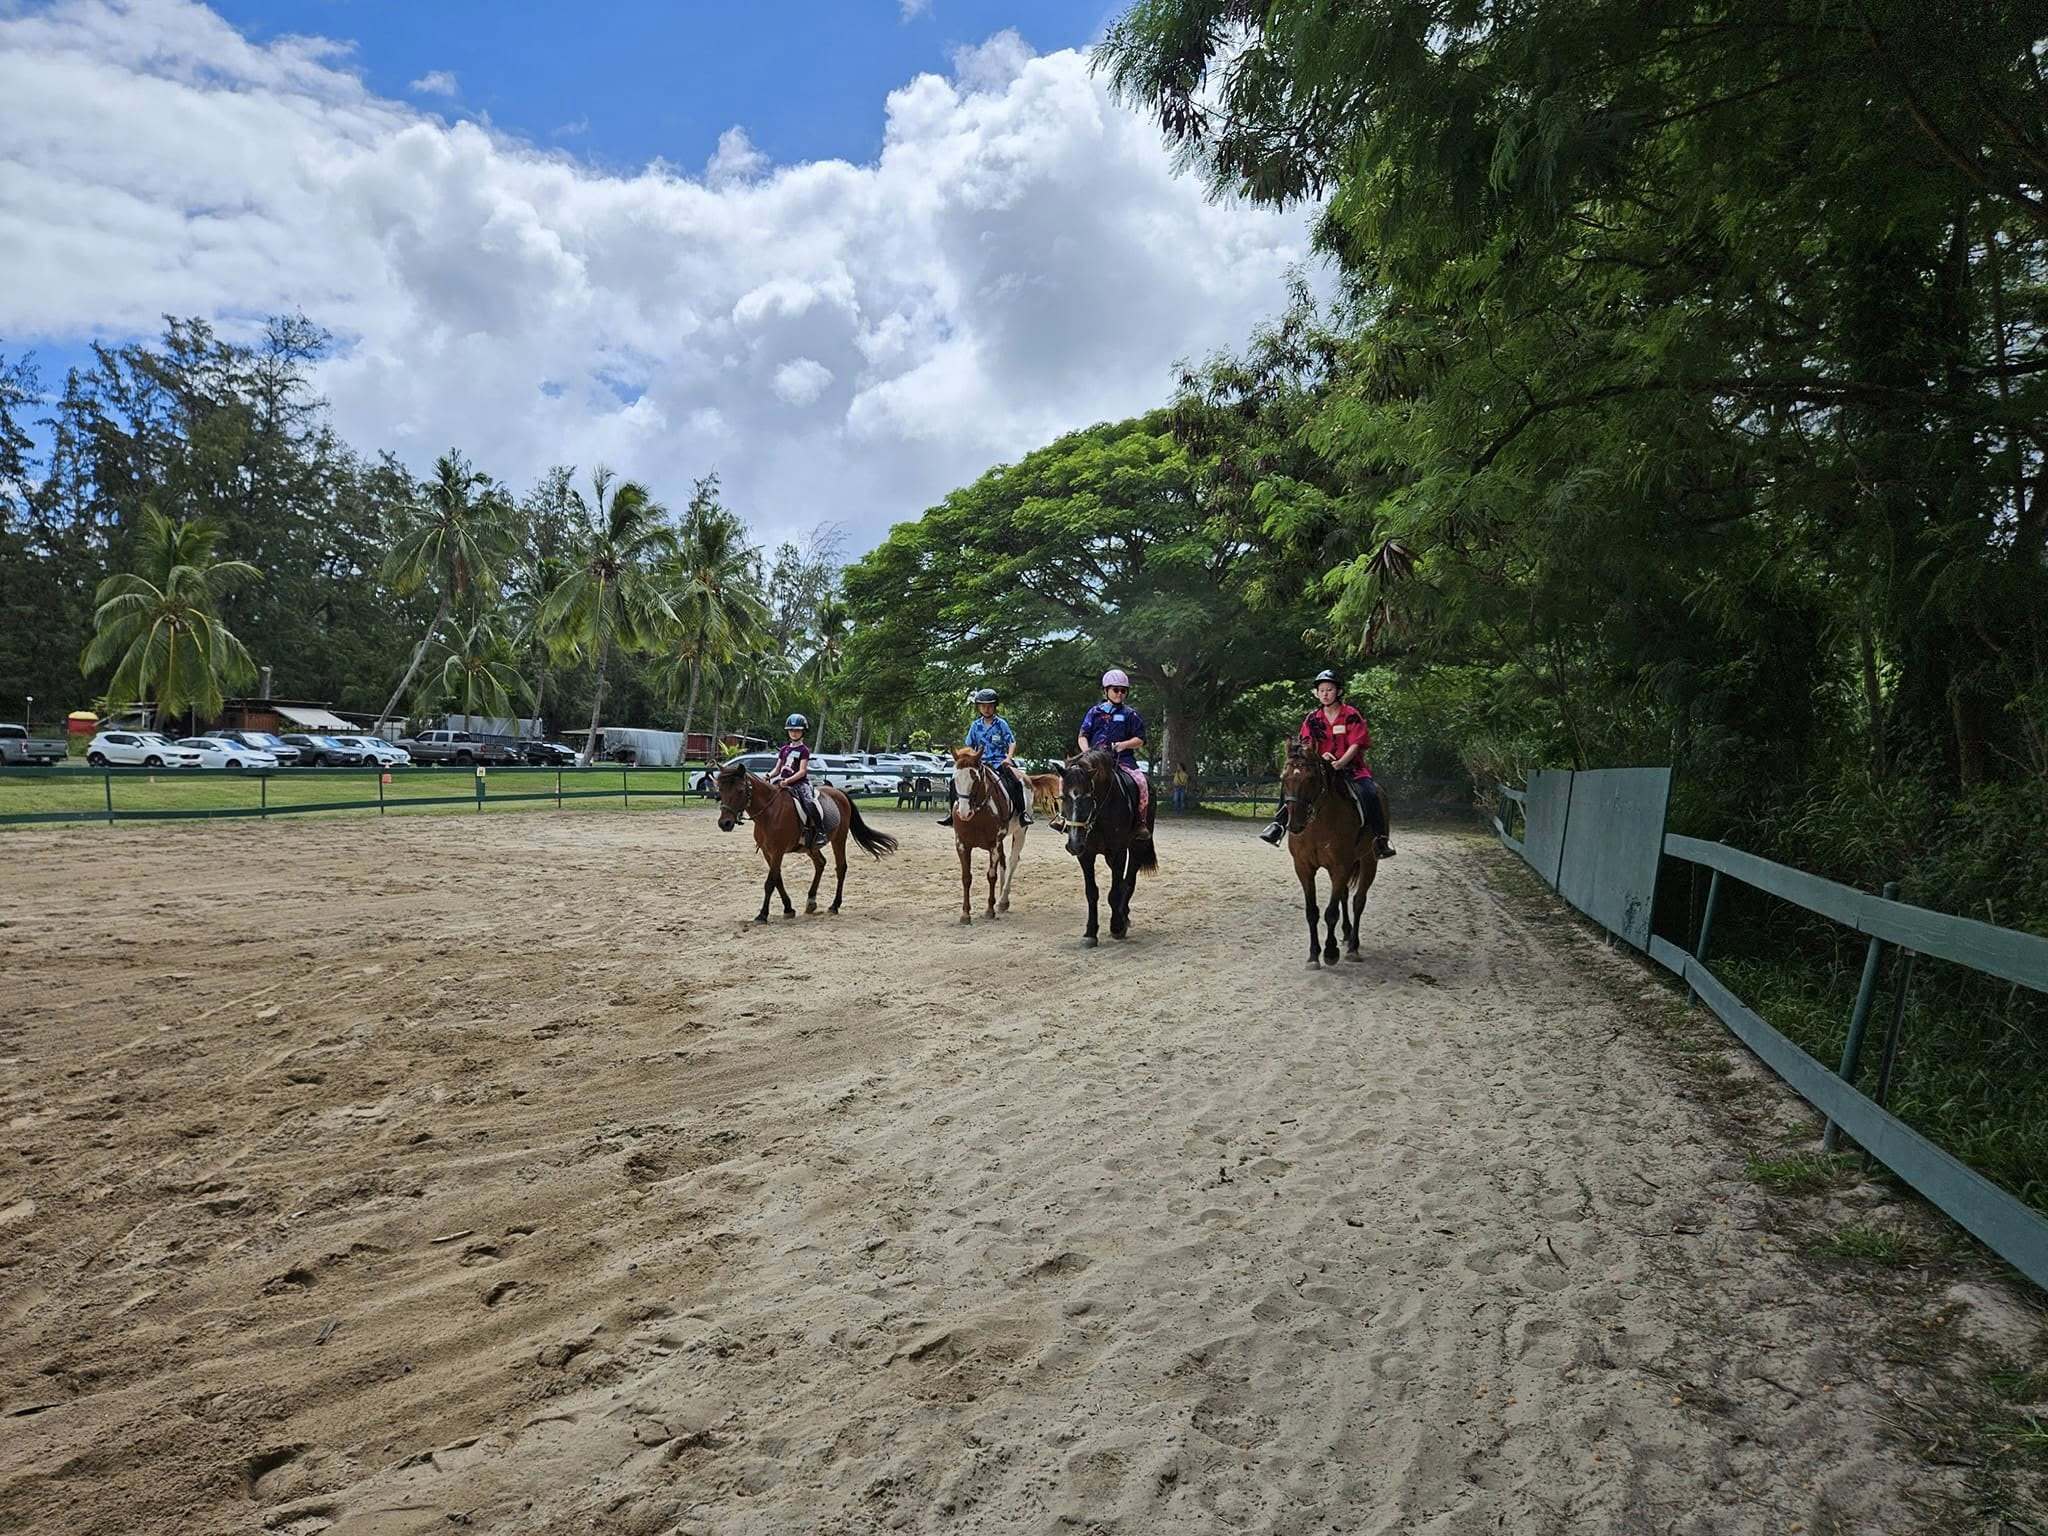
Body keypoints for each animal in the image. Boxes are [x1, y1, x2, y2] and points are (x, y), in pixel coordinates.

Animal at [714, 762, 898, 922]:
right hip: (811, 846)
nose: (725, 823)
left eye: (739, 790)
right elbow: (777, 879)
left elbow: (770, 882)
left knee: (841, 868)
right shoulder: (768, 852)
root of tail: (839, 793)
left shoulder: (778, 851)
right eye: (720, 789)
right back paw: (811, 901)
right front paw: (788, 909)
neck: (769, 812)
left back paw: (834, 905)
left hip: (839, 839)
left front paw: (762, 915)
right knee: (820, 863)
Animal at [949, 746, 1026, 924]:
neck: (978, 813)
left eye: (975, 778)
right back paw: (1001, 901)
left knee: (1012, 861)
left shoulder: (993, 844)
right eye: (955, 779)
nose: (964, 813)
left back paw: (1002, 900)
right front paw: (965, 914)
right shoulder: (962, 845)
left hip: (1020, 833)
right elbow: (966, 878)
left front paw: (989, 910)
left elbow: (991, 875)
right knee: (1004, 862)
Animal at [1057, 749, 1157, 947]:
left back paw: (1123, 916)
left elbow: (1115, 891)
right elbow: (1091, 892)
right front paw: (1090, 933)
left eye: (1088, 798)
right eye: (1064, 797)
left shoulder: (1118, 853)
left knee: (1129, 880)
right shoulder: (1085, 854)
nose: (1074, 844)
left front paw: (1117, 926)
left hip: (1137, 847)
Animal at [1278, 742, 1382, 966]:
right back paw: (1347, 933)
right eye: (1284, 778)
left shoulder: (1340, 866)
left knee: (1358, 901)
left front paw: (1330, 952)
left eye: (1310, 778)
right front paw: (1313, 955)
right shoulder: (1304, 868)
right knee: (1344, 895)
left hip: (1368, 861)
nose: (1295, 823)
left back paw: (1353, 947)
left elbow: (1331, 913)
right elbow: (1312, 912)